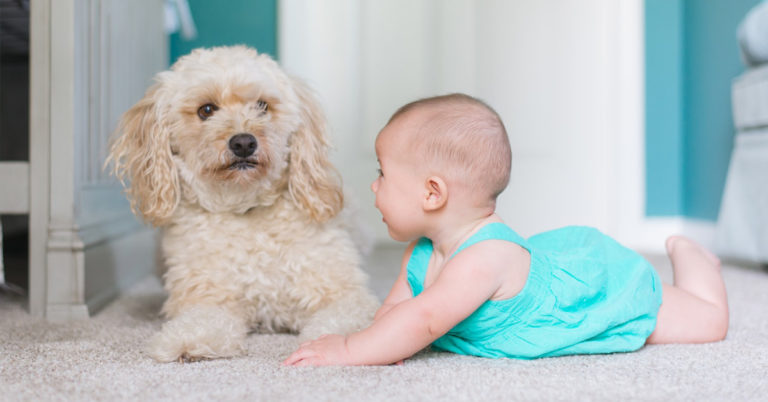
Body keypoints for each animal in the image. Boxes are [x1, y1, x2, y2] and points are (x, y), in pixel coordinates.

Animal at [106, 45, 382, 362]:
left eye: (262, 106)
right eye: (206, 110)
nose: (243, 143)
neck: (245, 208)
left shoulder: (344, 294)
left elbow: (342, 319)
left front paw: (332, 343)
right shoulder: (208, 297)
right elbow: (202, 321)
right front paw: (187, 340)